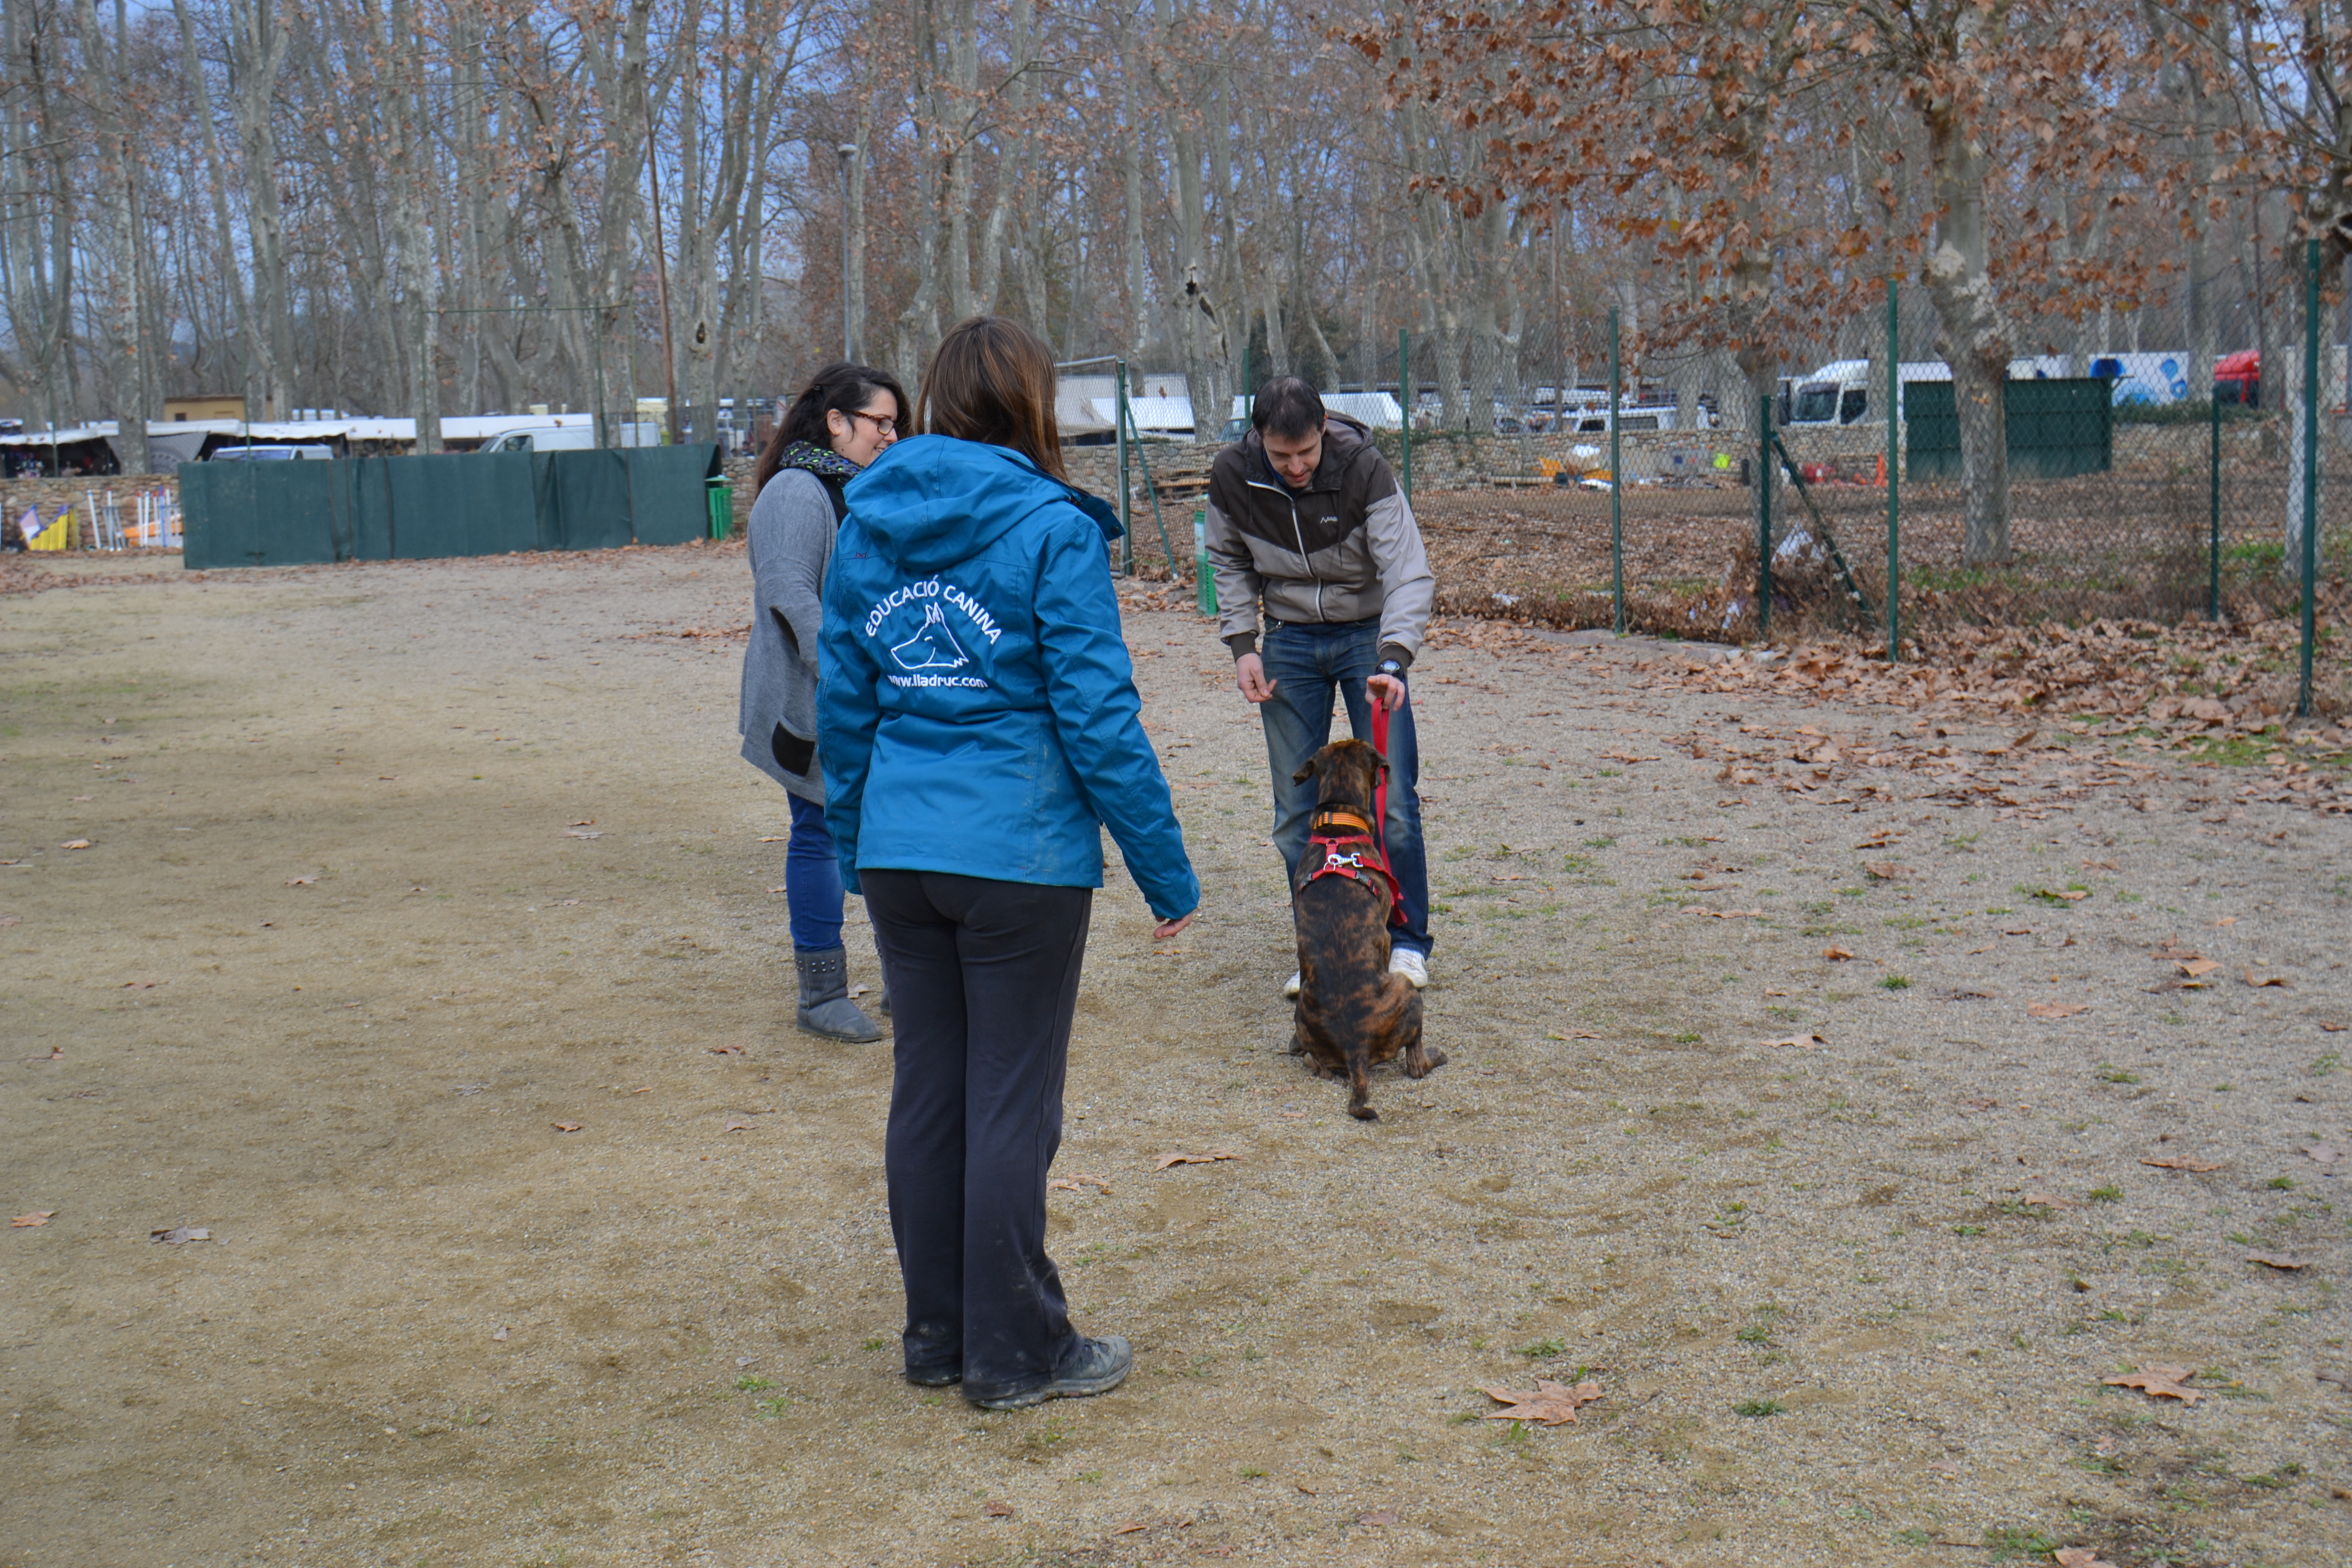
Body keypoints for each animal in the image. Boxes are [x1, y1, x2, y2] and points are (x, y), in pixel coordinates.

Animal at [1289, 737, 1443, 1120]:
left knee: (1318, 1065)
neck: (1337, 828)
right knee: (1415, 1063)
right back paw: (1435, 1057)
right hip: (1408, 993)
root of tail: (1354, 1045)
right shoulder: (1386, 933)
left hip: (1308, 1021)